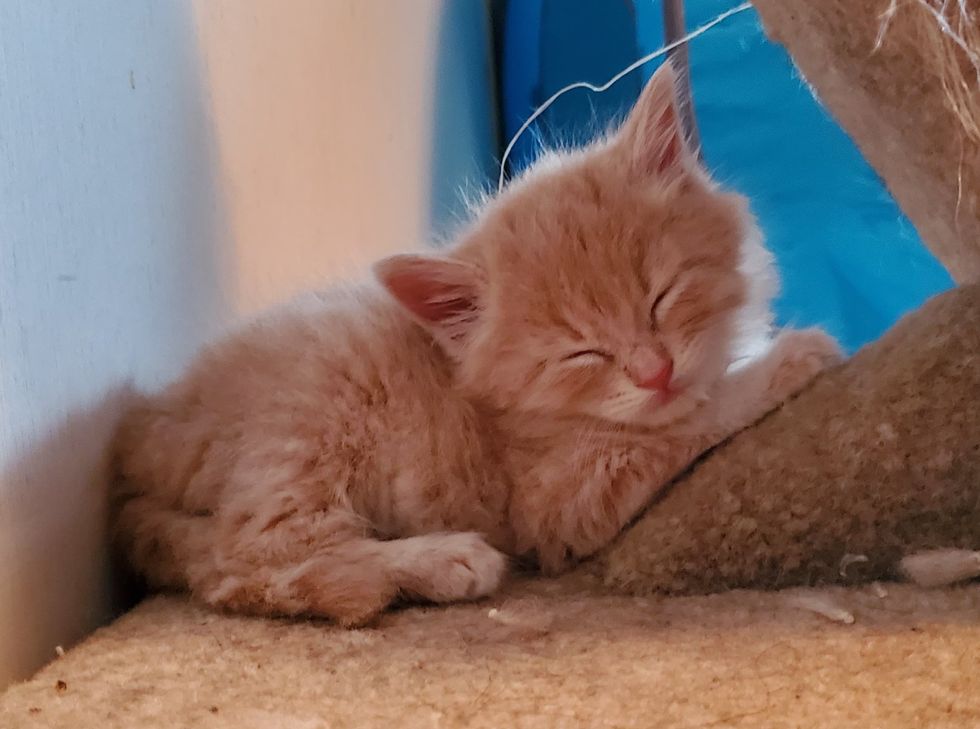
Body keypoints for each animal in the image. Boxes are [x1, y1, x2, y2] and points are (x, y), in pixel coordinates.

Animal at [113, 64, 844, 624]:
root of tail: (142, 436)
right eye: (578, 352)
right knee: (246, 561)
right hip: (308, 424)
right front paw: (784, 363)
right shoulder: (560, 494)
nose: (654, 370)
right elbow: (676, 425)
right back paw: (437, 560)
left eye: (661, 297)